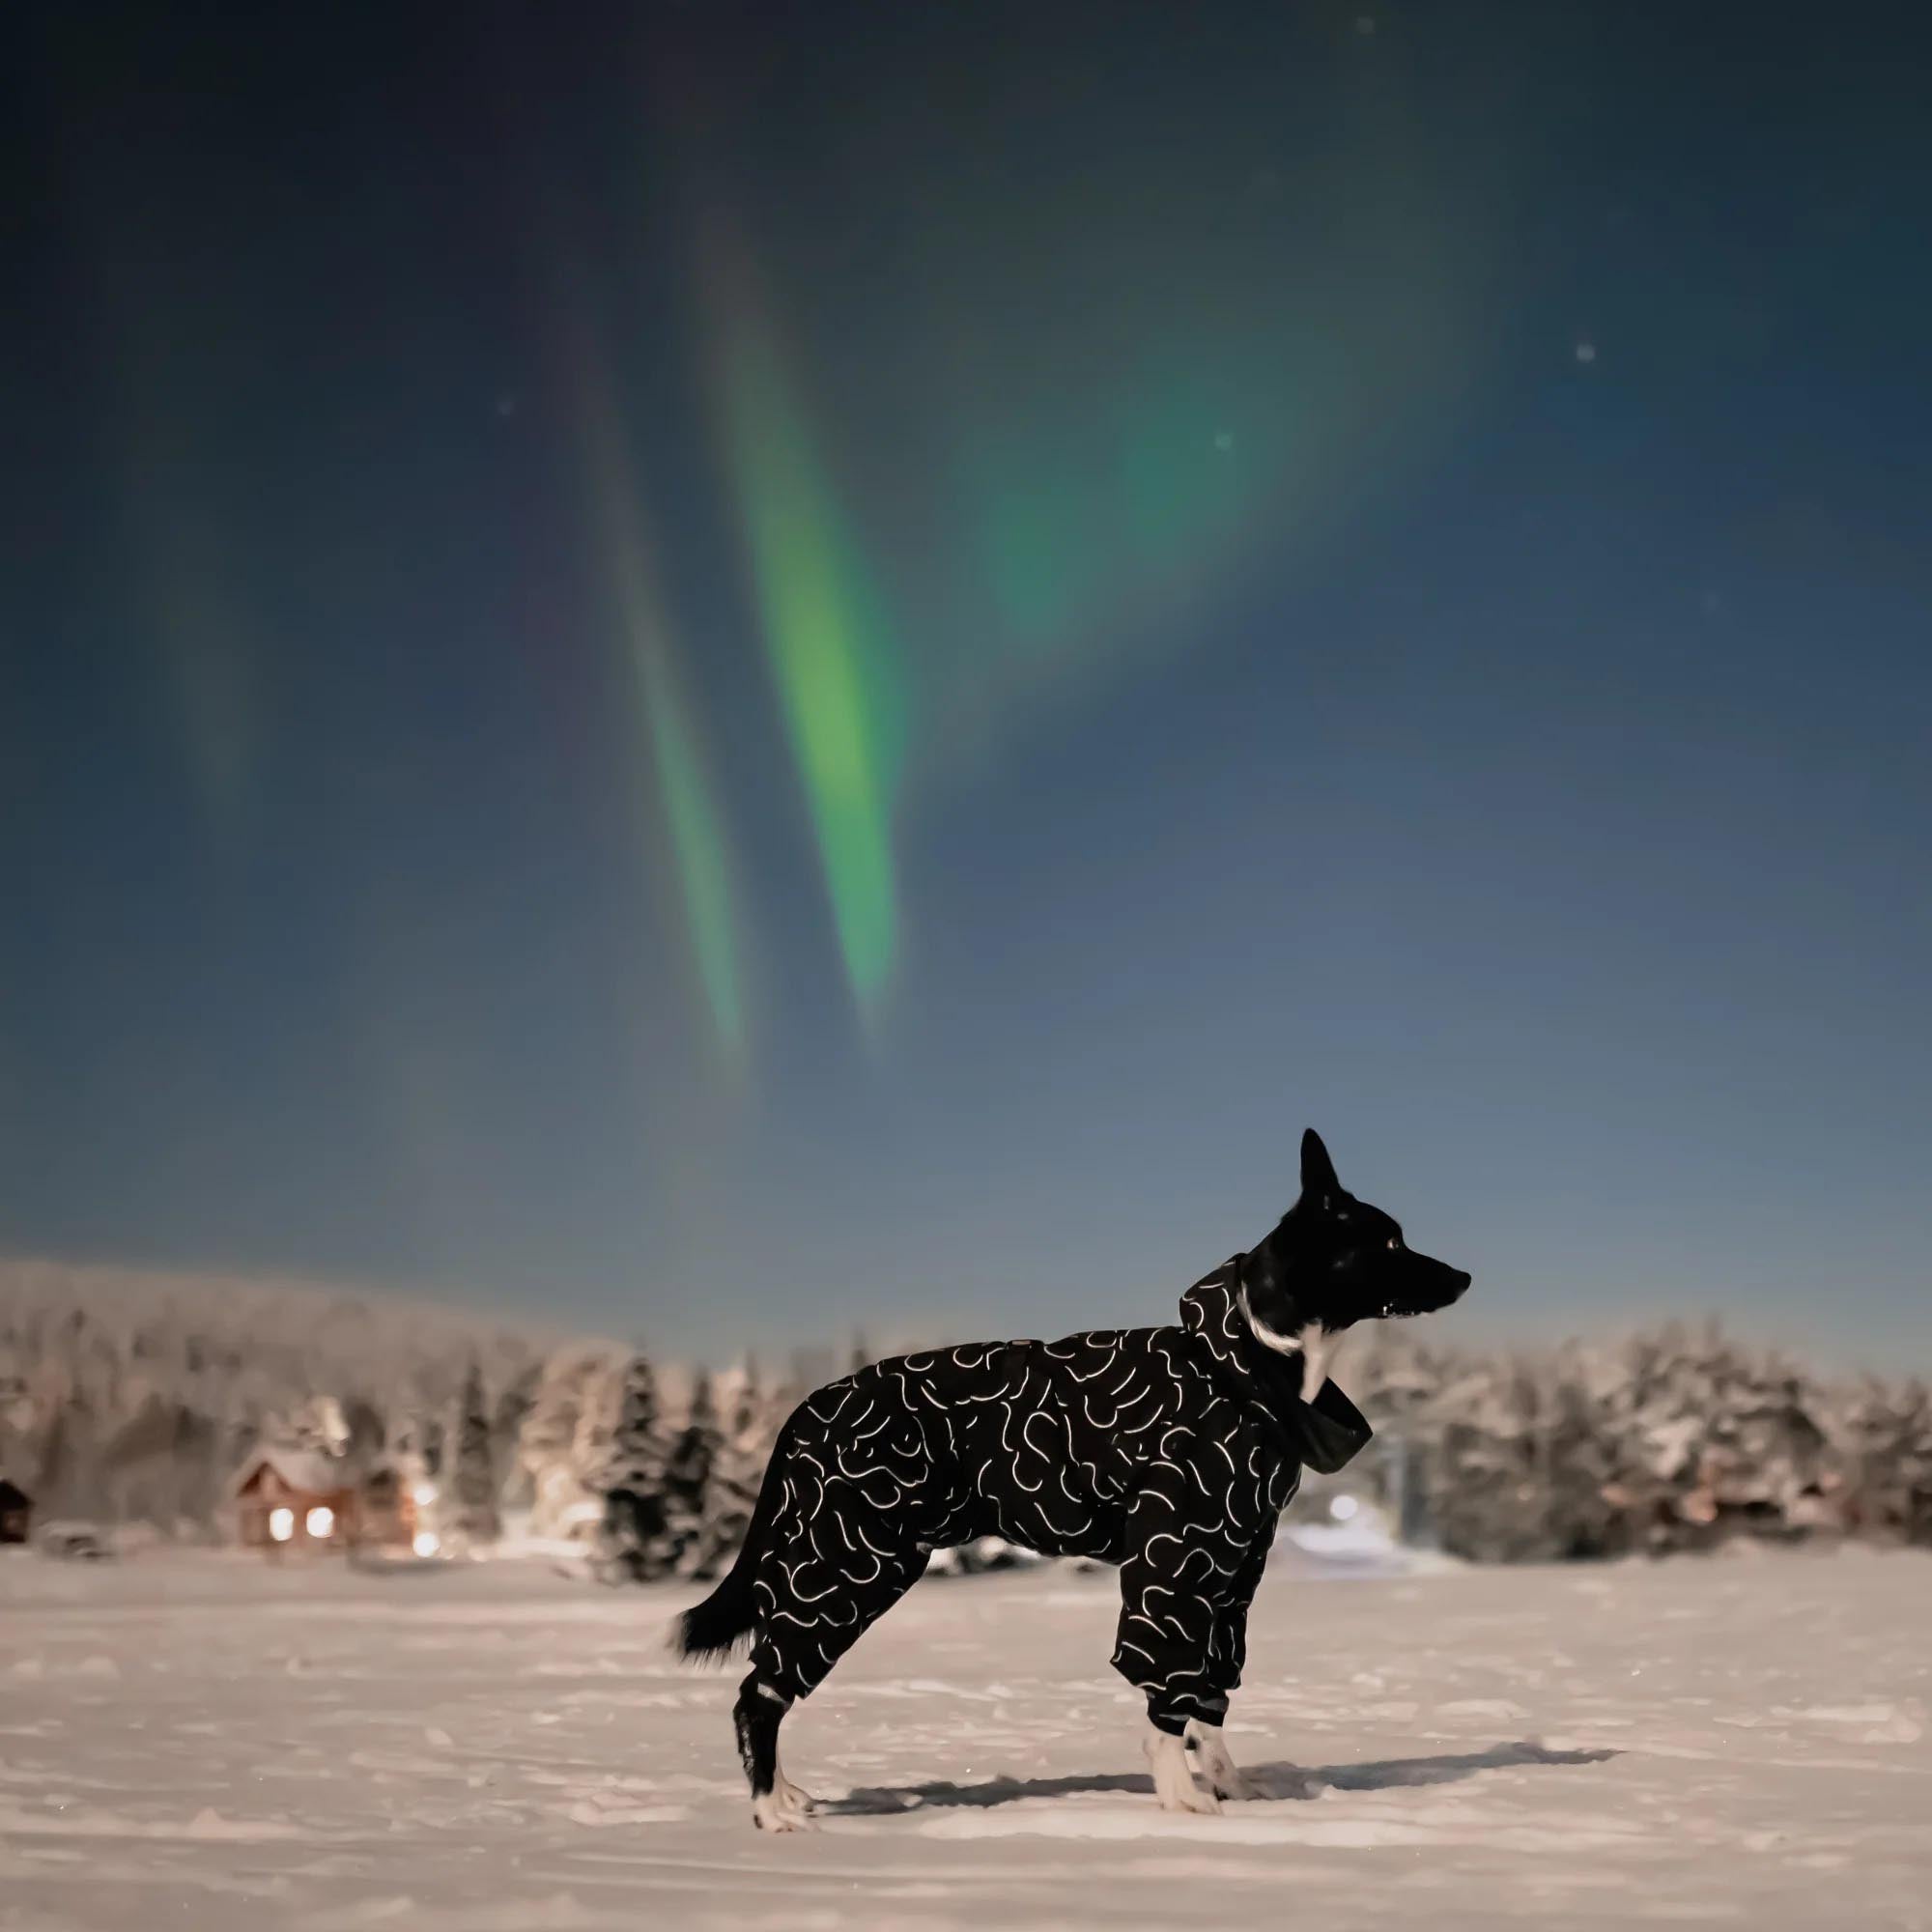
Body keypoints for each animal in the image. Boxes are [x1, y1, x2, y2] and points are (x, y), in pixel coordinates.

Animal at [672, 1128, 1468, 1824]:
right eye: (1388, 1241)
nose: (1463, 1275)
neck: (1246, 1366)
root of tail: (806, 1407)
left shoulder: (1235, 1572)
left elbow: (1210, 1705)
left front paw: (1229, 1789)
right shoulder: (1174, 1568)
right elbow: (1167, 1704)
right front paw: (1182, 1804)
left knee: (768, 1689)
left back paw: (789, 1794)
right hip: (844, 1565)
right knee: (759, 1693)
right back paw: (771, 1813)